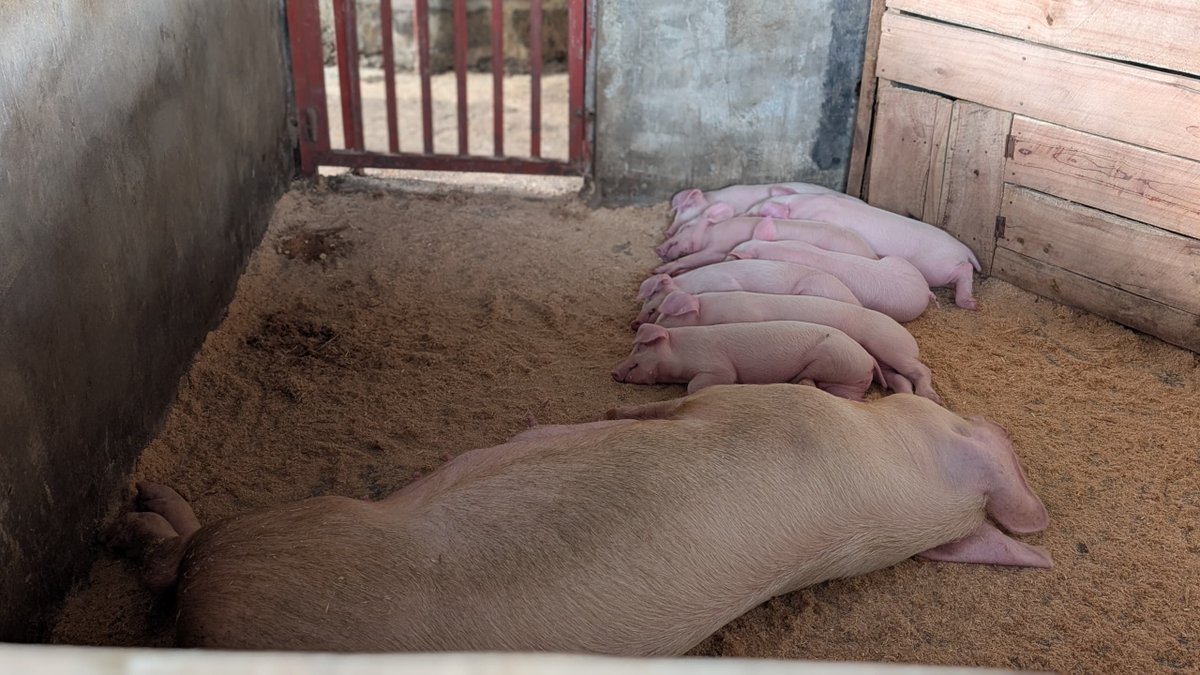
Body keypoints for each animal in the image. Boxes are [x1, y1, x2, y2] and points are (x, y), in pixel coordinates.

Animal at [111, 384, 1051, 655]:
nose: (932, 390)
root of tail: (206, 628)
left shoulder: (761, 399)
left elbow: (671, 405)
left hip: (291, 527)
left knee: (173, 557)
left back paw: (140, 506)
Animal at [611, 321, 882, 399]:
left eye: (639, 347)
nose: (613, 372)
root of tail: (869, 359)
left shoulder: (716, 365)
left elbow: (696, 385)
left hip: (830, 360)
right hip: (849, 378)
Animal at [654, 214, 877, 275]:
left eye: (686, 227)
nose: (658, 248)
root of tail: (872, 255)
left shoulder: (718, 248)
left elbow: (695, 258)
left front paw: (661, 271)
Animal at [654, 291, 941, 404]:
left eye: (666, 315)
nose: (648, 323)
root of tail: (908, 336)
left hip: (890, 346)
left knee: (920, 369)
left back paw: (931, 396)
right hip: (883, 362)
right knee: (899, 380)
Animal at [749, 191, 981, 309]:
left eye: (755, 211)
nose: (746, 212)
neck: (805, 204)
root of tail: (963, 249)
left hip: (936, 268)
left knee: (964, 270)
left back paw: (971, 304)